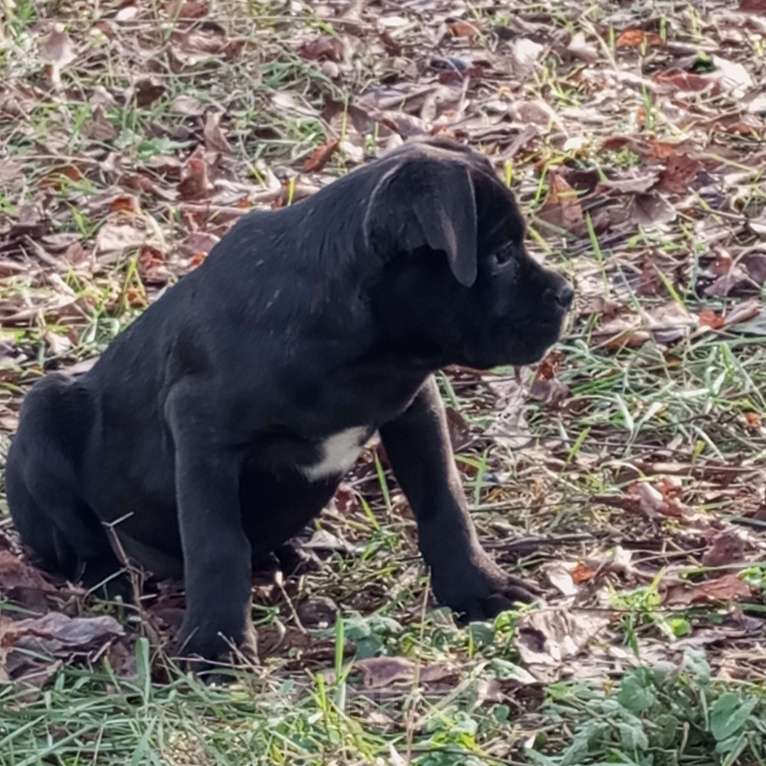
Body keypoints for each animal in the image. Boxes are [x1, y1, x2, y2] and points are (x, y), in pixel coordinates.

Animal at [4, 136, 568, 660]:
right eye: (500, 257)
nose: (566, 293)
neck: (364, 354)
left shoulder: (415, 408)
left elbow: (444, 501)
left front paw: (478, 587)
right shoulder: (203, 435)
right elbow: (217, 544)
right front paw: (215, 644)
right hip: (42, 413)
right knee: (82, 542)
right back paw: (114, 580)